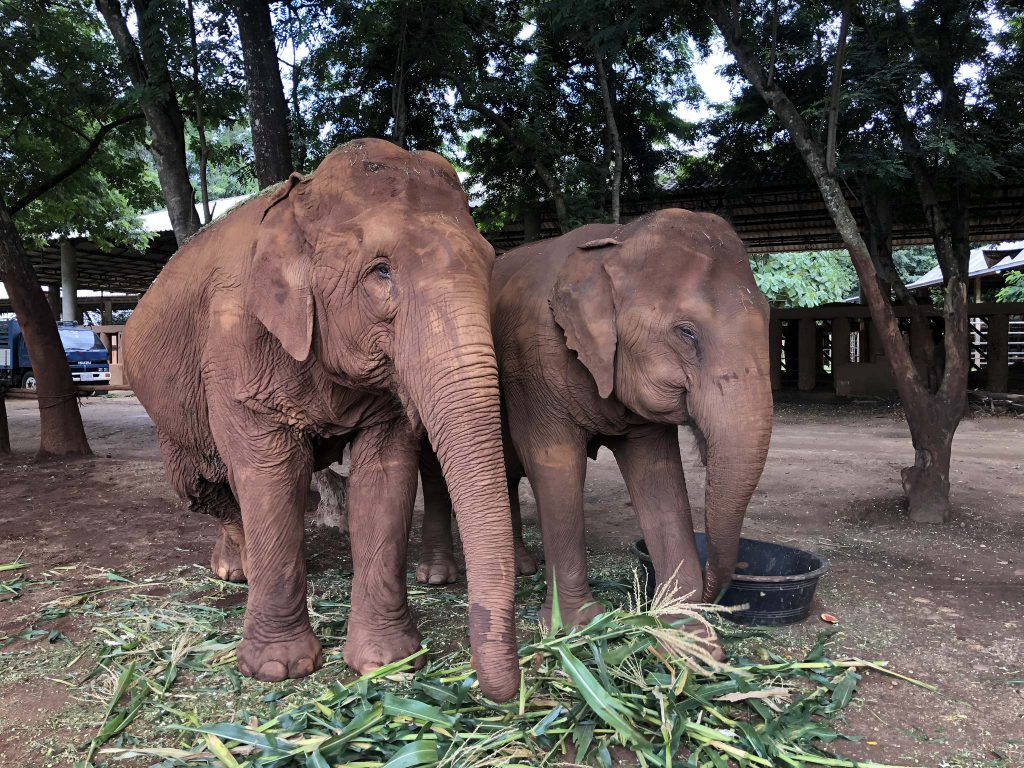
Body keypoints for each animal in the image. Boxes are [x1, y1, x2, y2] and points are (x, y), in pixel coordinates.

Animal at [125, 137, 520, 704]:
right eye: (381, 271)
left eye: (489, 263)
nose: (503, 693)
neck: (301, 199)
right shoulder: (236, 340)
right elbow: (271, 475)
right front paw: (278, 670)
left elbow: (385, 475)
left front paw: (387, 664)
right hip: (170, 412)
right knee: (204, 485)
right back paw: (238, 572)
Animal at [411, 208, 770, 638]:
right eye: (687, 332)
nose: (715, 592)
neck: (618, 239)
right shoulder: (534, 364)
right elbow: (556, 466)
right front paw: (578, 625)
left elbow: (659, 475)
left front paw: (687, 633)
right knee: (435, 469)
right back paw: (436, 576)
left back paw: (522, 567)